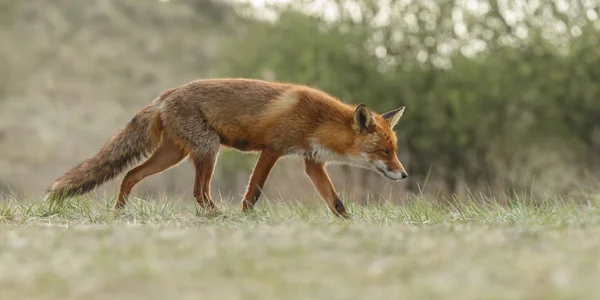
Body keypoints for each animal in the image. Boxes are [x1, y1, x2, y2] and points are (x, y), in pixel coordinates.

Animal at [45, 78, 408, 217]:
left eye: (394, 150)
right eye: (385, 152)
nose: (404, 175)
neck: (317, 120)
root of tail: (165, 95)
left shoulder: (311, 162)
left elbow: (336, 202)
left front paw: (352, 225)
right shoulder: (272, 150)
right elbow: (254, 192)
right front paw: (246, 218)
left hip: (174, 154)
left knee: (130, 175)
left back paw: (120, 213)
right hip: (208, 151)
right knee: (198, 192)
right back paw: (218, 215)